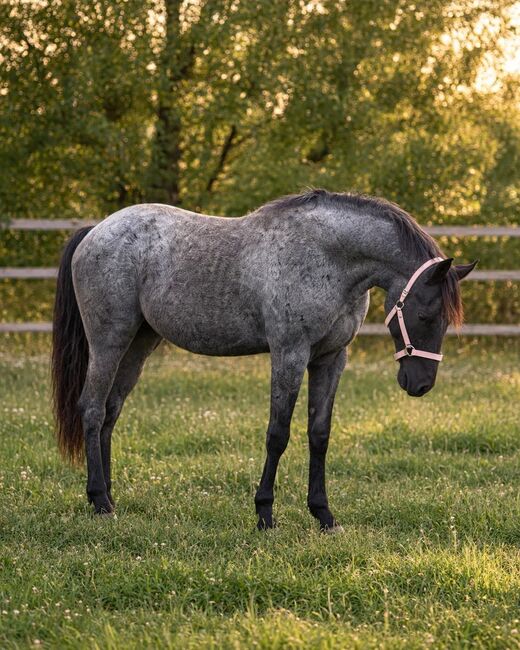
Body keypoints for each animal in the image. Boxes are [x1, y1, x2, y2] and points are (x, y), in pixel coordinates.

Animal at [51, 189, 477, 531]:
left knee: (111, 411)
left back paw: (109, 496)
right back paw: (100, 501)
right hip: (109, 340)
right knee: (92, 409)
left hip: (139, 343)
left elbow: (319, 435)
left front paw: (324, 515)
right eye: (425, 314)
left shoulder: (331, 359)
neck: (327, 256)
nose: (420, 384)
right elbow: (278, 434)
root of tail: (96, 229)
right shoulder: (289, 353)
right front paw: (265, 513)